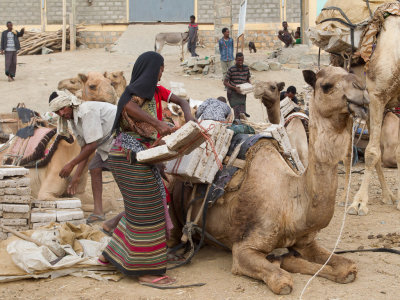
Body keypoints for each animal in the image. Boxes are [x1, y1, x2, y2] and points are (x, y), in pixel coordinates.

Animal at [167, 66, 368, 296]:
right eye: (326, 86)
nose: (362, 92)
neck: (290, 203)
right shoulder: (244, 248)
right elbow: (283, 281)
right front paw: (282, 263)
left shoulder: (306, 242)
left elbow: (348, 267)